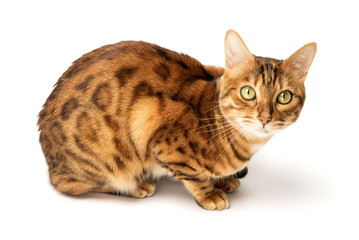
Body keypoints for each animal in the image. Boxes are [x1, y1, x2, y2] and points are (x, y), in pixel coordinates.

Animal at [38, 29, 316, 210]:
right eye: (248, 92)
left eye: (284, 97)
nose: (264, 118)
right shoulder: (152, 125)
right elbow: (194, 176)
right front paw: (210, 194)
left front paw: (224, 181)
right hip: (104, 159)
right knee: (70, 184)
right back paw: (136, 186)